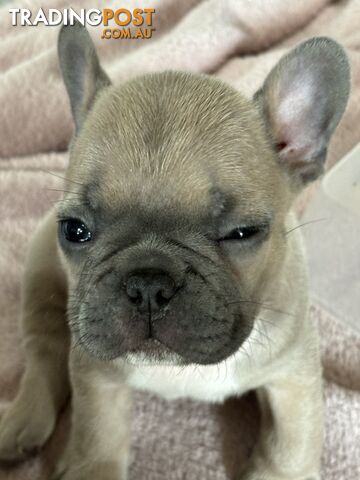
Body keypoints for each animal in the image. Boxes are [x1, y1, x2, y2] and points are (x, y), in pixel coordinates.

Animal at [0, 21, 348, 480]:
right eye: (75, 230)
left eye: (241, 233)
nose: (147, 283)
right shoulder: (95, 371)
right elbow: (98, 435)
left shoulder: (294, 371)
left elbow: (290, 443)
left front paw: (278, 471)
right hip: (40, 270)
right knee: (44, 348)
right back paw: (22, 420)